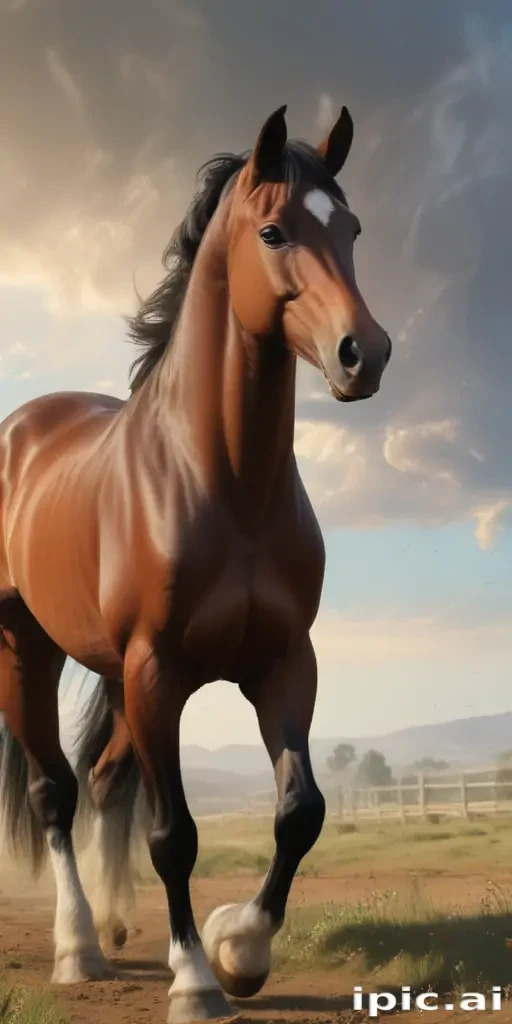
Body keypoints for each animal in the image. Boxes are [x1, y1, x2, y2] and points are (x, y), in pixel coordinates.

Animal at [0, 104, 392, 1022]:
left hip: (111, 674)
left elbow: (301, 811)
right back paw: (78, 949)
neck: (219, 480)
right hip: (28, 651)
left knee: (104, 780)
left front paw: (239, 947)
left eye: (352, 228)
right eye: (274, 231)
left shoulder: (283, 663)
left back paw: (113, 925)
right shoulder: (158, 671)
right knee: (56, 793)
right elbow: (173, 833)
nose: (365, 353)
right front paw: (197, 979)